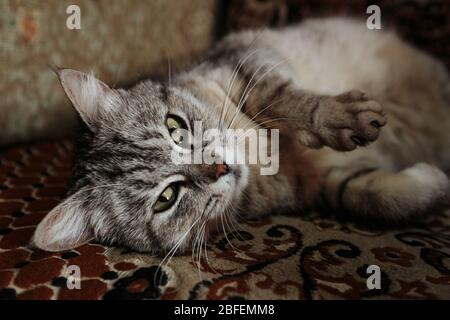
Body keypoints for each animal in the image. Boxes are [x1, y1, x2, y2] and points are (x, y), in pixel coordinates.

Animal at [31, 18, 450, 255]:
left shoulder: (246, 57)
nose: (219, 167)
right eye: (167, 198)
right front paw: (433, 180)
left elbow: (280, 98)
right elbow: (381, 199)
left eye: (175, 126)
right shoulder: (323, 185)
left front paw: (340, 116)